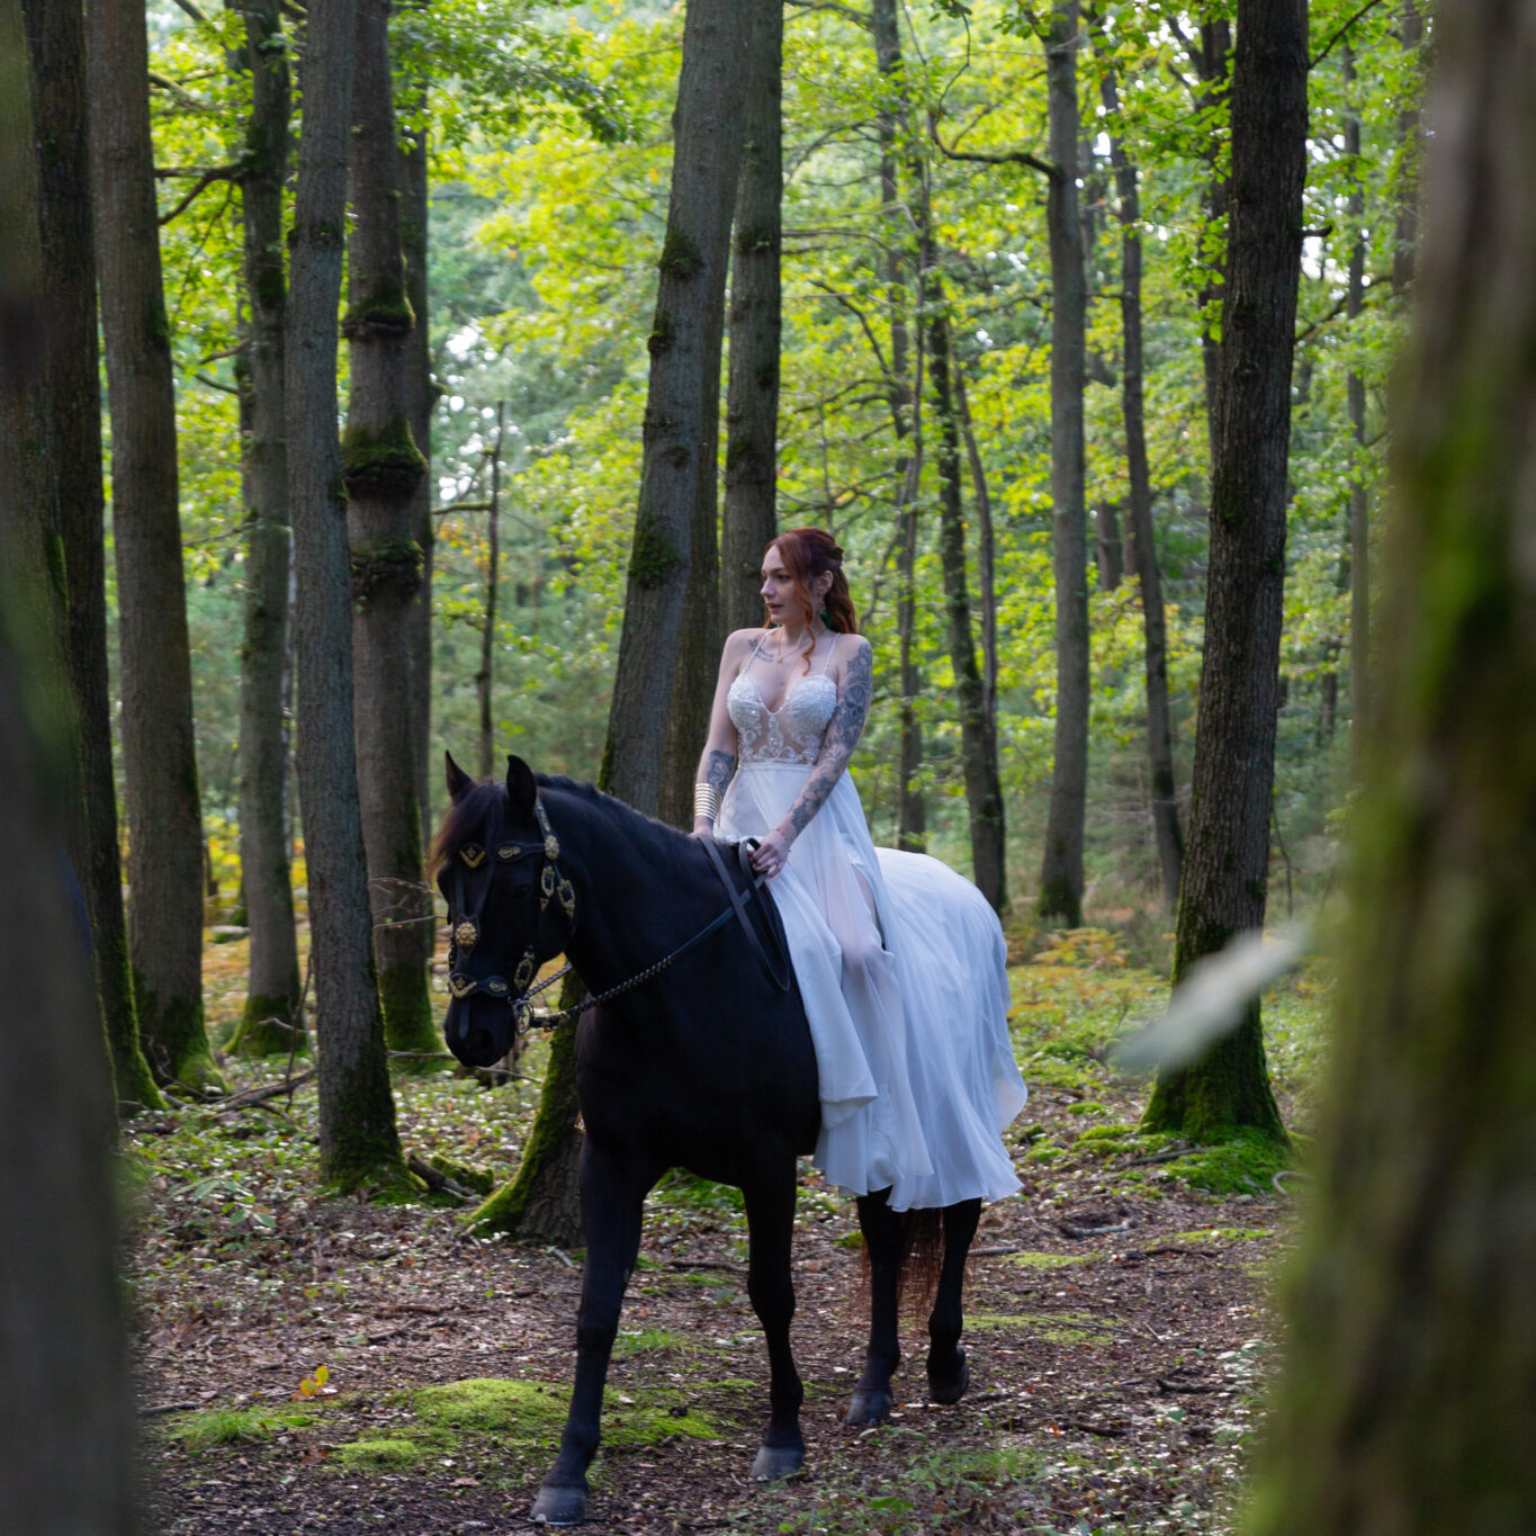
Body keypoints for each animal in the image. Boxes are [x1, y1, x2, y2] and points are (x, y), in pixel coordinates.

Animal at [436, 755, 983, 1523]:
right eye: (445, 883)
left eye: (517, 886)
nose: (470, 1035)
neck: (679, 981)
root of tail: (966, 894)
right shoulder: (613, 1163)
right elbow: (596, 1310)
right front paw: (568, 1472)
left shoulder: (767, 1164)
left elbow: (771, 1292)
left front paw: (782, 1438)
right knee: (885, 1240)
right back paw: (874, 1388)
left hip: (946, 1114)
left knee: (960, 1217)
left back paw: (944, 1365)